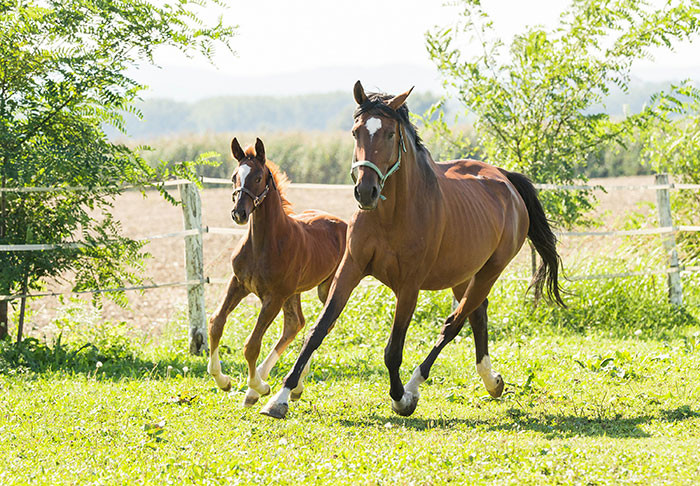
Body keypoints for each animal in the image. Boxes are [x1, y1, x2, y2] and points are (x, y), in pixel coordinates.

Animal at [207, 137, 347, 407]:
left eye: (258, 177)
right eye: (234, 177)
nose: (239, 213)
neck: (263, 243)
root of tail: (344, 224)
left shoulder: (274, 297)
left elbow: (251, 344)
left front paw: (258, 386)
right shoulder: (238, 283)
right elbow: (216, 323)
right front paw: (223, 380)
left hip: (325, 288)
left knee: (322, 325)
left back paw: (285, 386)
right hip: (294, 292)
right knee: (296, 324)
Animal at [260, 81, 564, 419]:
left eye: (390, 134)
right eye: (356, 132)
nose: (366, 192)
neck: (390, 216)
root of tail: (505, 180)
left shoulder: (409, 285)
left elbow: (393, 350)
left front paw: (400, 398)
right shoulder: (350, 268)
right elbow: (318, 330)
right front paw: (280, 397)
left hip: (489, 272)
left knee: (454, 324)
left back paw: (417, 386)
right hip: (463, 274)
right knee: (477, 315)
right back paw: (492, 381)